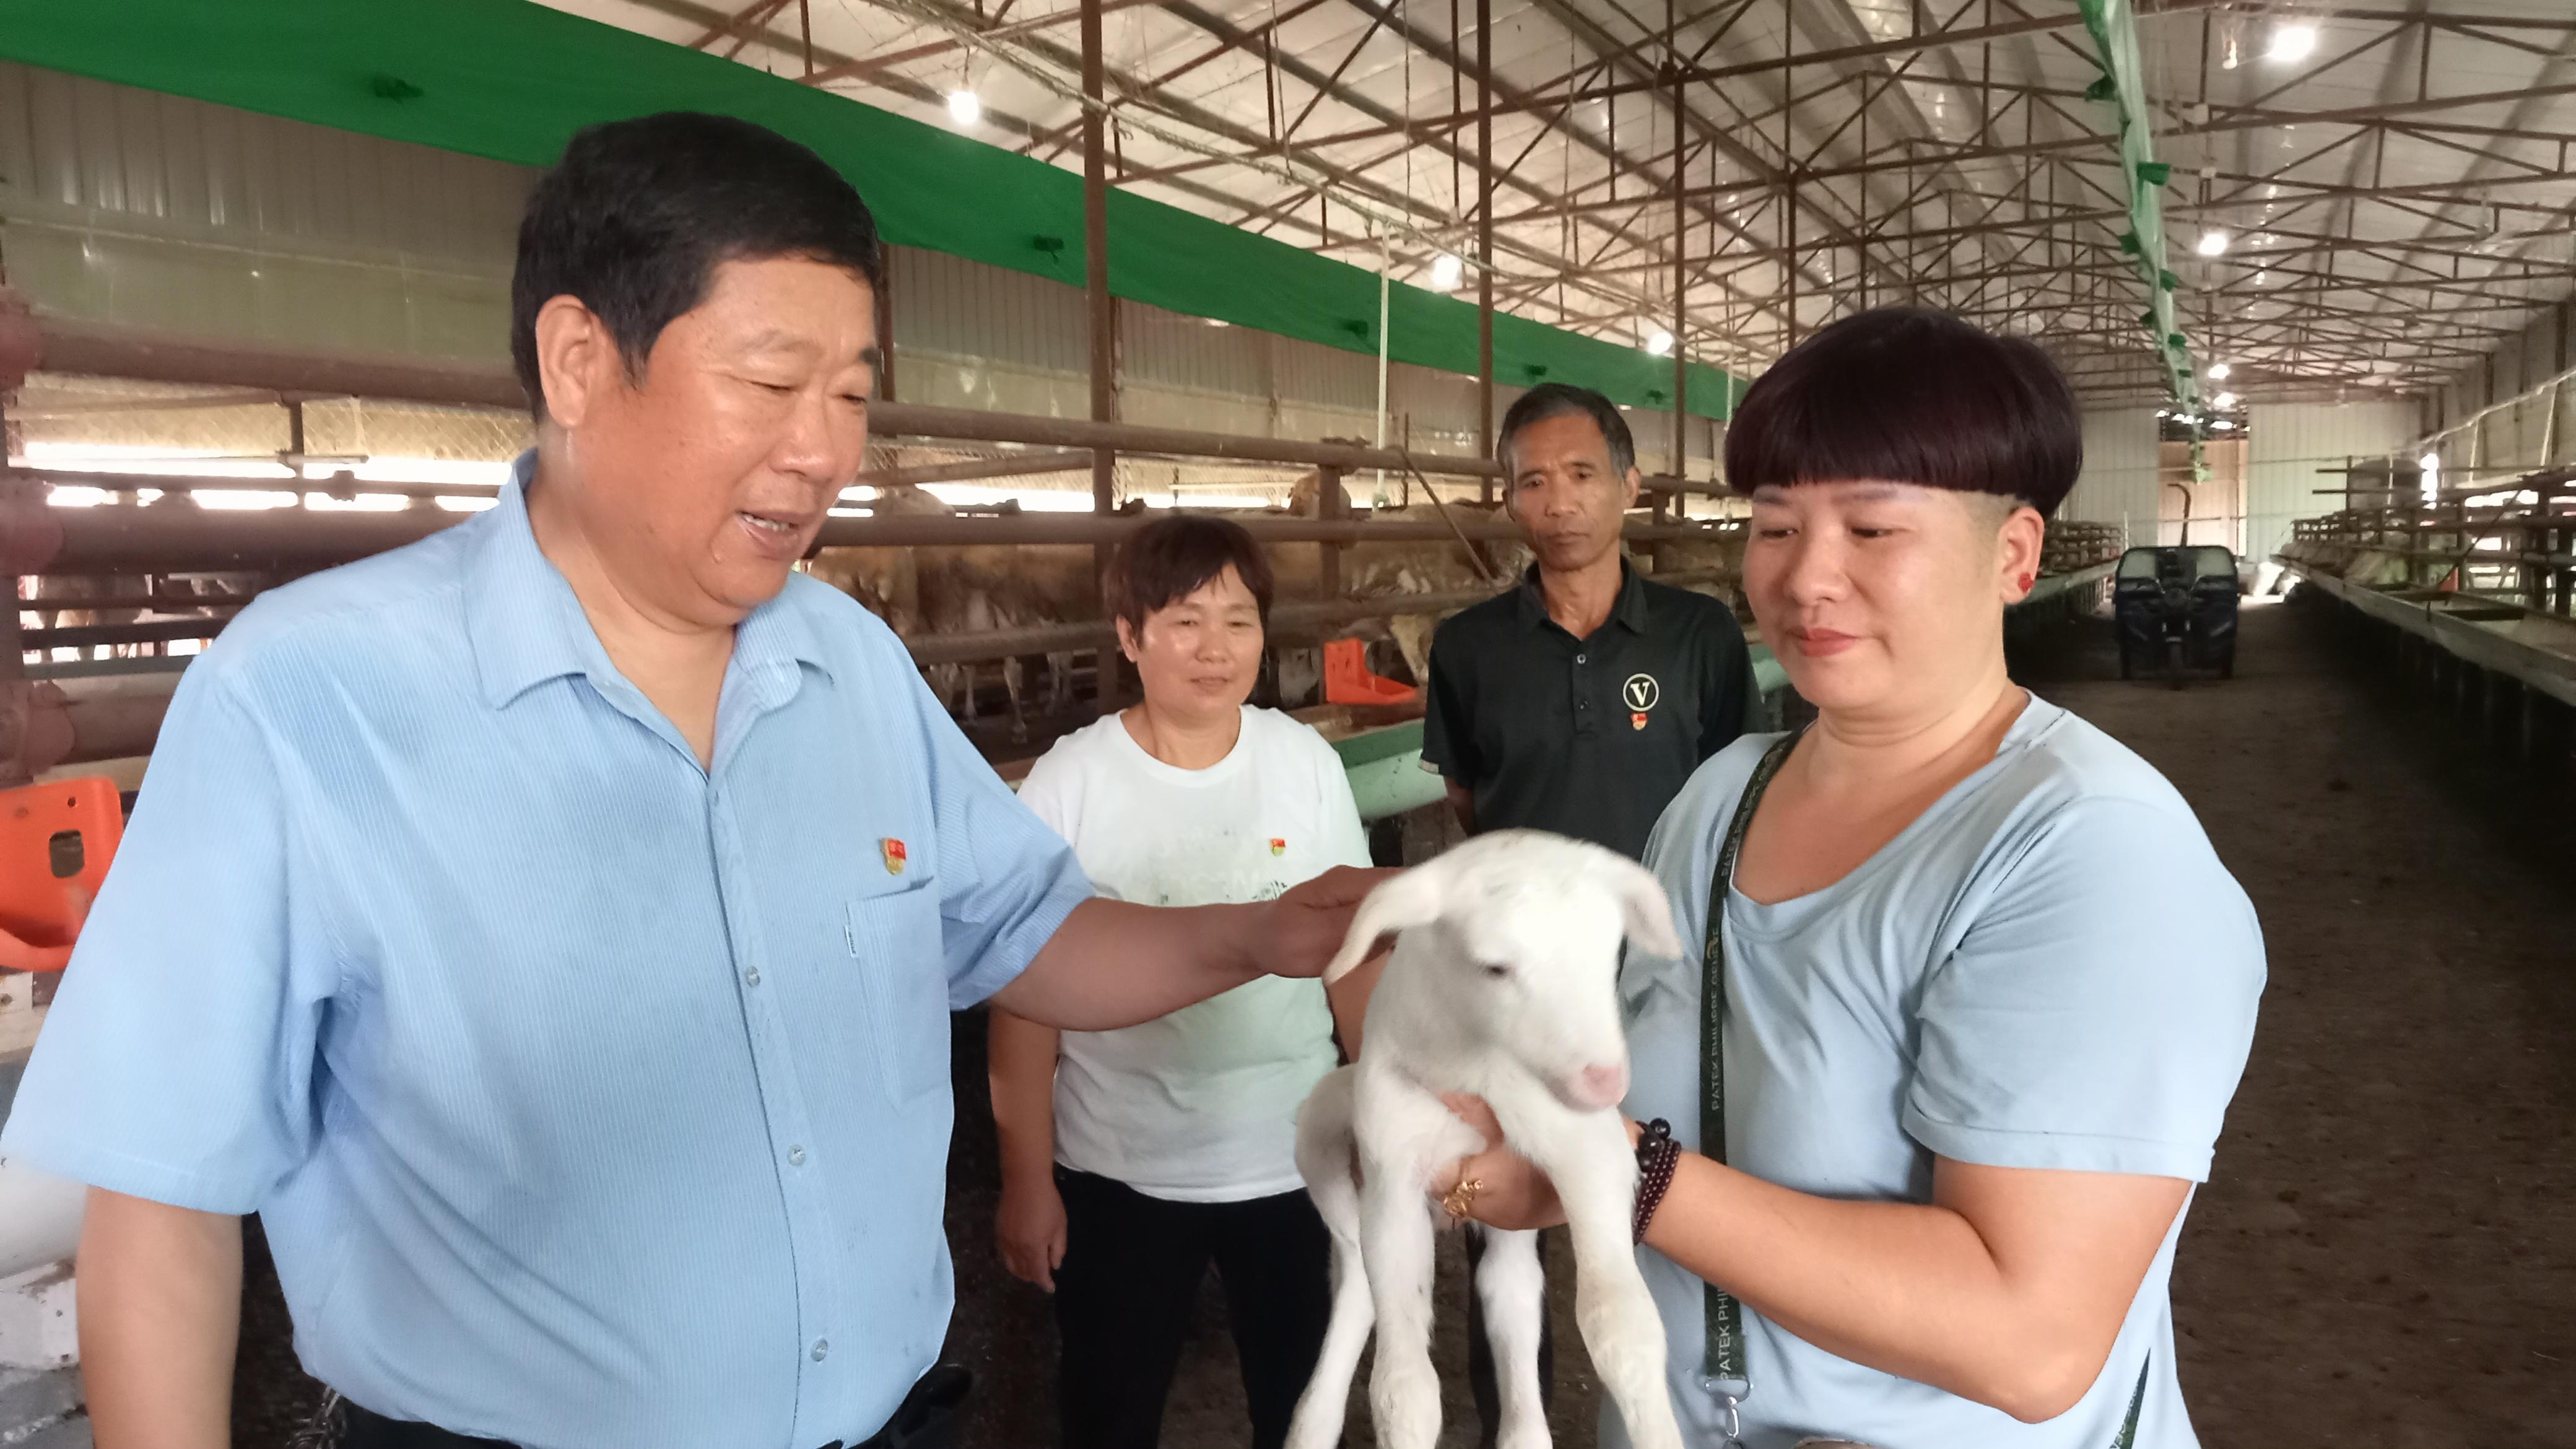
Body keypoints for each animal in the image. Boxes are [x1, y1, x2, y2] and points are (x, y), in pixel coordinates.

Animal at [1288, 825, 1689, 1443]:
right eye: (1496, 969)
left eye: (1609, 954)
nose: (1605, 1083)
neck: (1473, 1067)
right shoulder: (1393, 1171)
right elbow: (1404, 1393)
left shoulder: (1590, 1152)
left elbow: (1622, 1326)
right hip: (1327, 1135)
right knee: (1357, 1277)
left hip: (1509, 1235)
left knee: (1511, 1298)